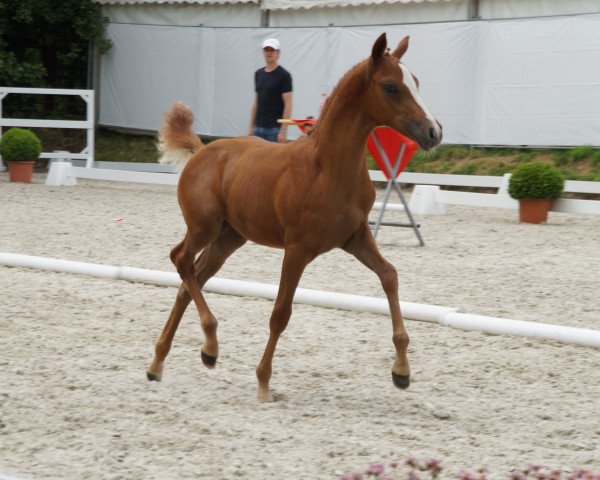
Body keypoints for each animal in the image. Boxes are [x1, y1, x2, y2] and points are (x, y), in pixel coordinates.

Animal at [148, 32, 442, 402]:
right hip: (205, 227)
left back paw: (162, 363)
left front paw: (401, 371)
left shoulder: (355, 236)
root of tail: (202, 151)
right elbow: (280, 313)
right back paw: (208, 346)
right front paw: (263, 382)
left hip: (229, 239)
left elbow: (389, 275)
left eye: (415, 82)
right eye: (390, 87)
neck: (327, 170)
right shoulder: (297, 249)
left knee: (190, 282)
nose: (434, 132)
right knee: (181, 260)